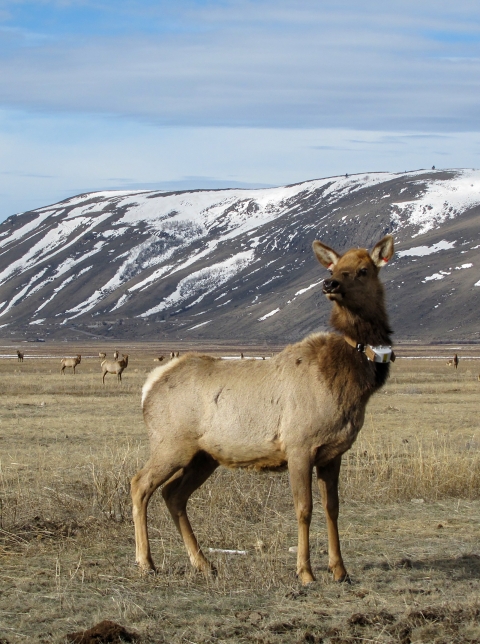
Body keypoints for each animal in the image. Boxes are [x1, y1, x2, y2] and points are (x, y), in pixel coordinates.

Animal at [131, 235, 395, 585]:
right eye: (334, 268)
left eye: (364, 270)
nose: (330, 284)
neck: (350, 384)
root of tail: (149, 386)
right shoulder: (299, 446)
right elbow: (304, 509)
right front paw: (305, 572)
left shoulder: (333, 452)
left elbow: (333, 508)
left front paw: (340, 570)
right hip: (170, 444)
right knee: (140, 485)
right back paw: (146, 562)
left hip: (204, 456)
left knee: (173, 494)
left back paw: (203, 563)